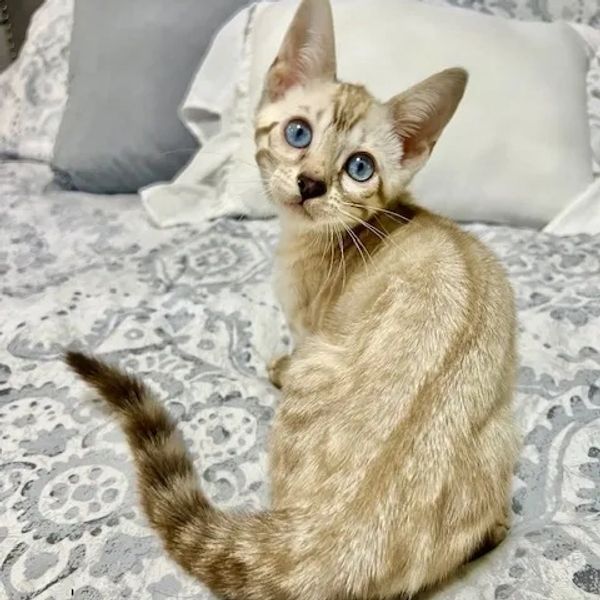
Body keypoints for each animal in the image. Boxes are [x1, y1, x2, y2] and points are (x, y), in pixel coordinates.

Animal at [64, 0, 516, 596]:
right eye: (298, 133)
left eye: (360, 167)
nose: (310, 183)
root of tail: (330, 543)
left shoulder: (309, 330)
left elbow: (290, 350)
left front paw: (274, 365)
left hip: (319, 373)